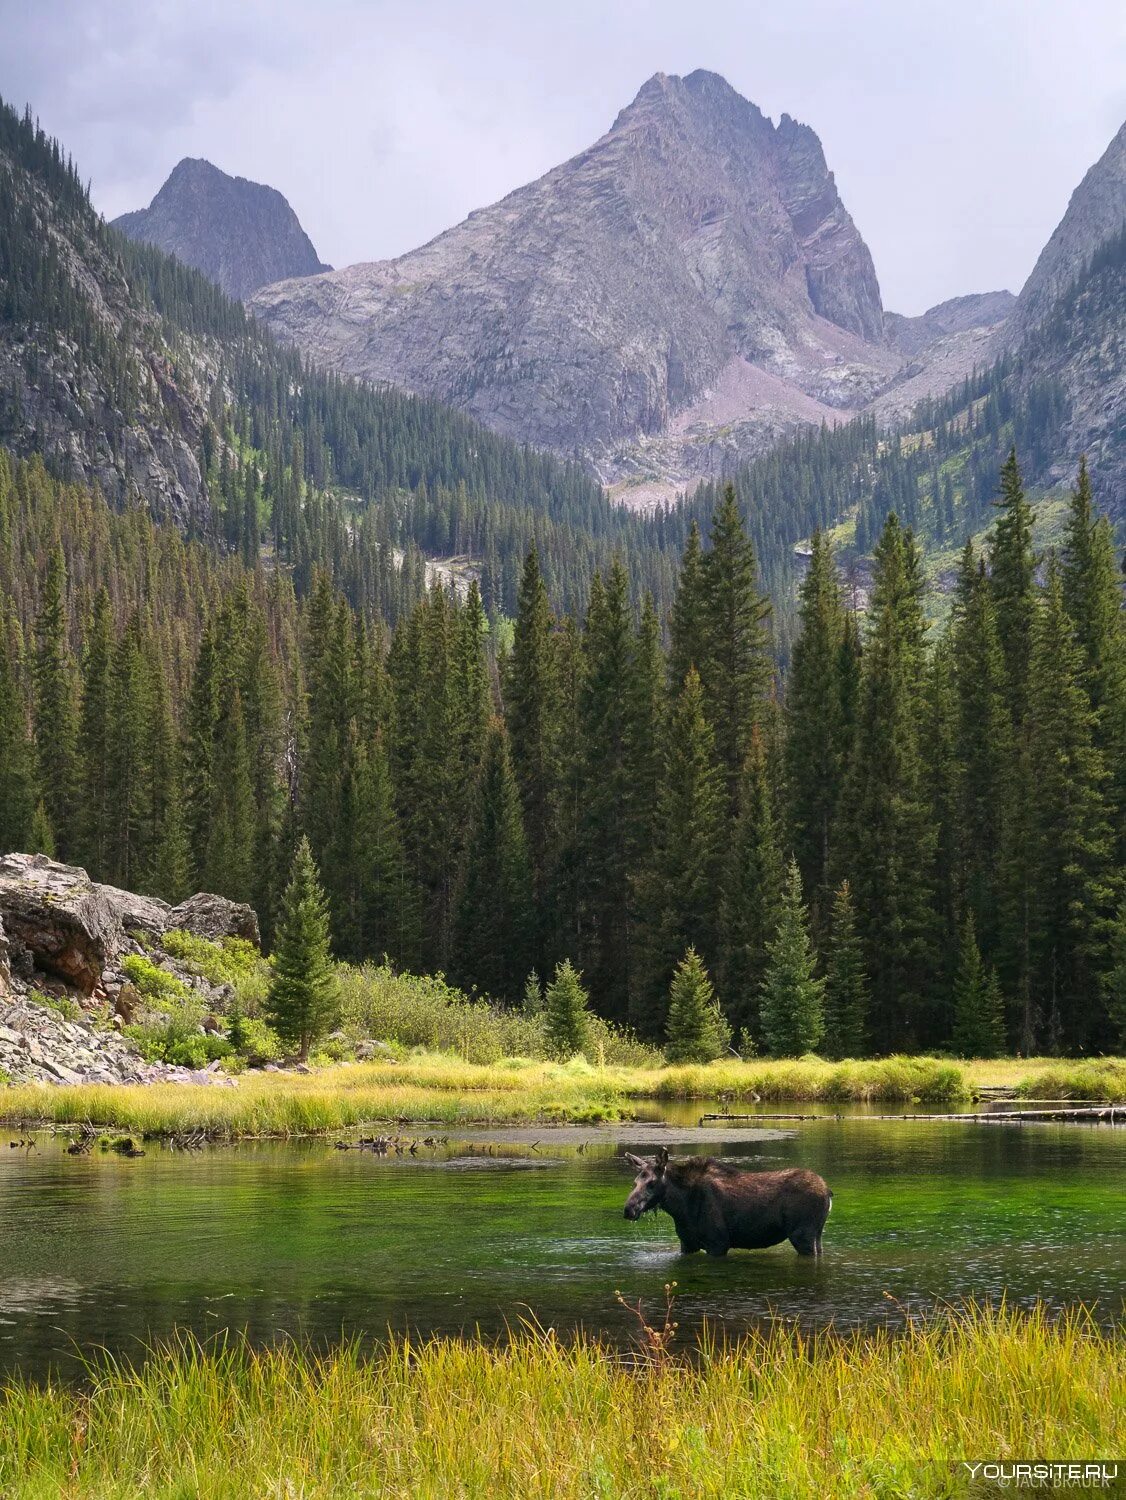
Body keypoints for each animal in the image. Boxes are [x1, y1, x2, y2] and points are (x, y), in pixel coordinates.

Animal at [620, 1146, 833, 1254]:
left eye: (652, 1183)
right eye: (634, 1182)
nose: (629, 1209)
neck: (680, 1209)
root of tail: (828, 1192)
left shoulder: (718, 1243)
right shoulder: (687, 1244)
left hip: (802, 1234)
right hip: (817, 1233)